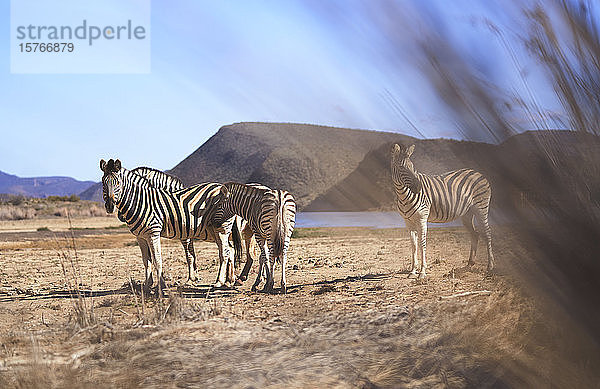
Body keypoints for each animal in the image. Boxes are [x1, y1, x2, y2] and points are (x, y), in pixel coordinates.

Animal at [99, 158, 241, 288]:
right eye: (103, 183)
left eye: (118, 183)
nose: (110, 207)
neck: (143, 201)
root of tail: (223, 187)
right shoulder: (140, 237)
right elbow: (146, 261)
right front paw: (147, 285)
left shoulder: (155, 234)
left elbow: (160, 259)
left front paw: (162, 285)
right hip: (216, 230)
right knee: (229, 250)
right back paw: (229, 280)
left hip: (222, 228)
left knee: (225, 252)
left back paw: (220, 281)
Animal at [392, 144, 494, 278]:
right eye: (401, 167)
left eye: (413, 168)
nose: (419, 187)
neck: (404, 195)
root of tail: (478, 173)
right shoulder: (408, 221)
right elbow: (413, 246)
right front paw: (413, 271)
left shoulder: (422, 219)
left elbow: (422, 244)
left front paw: (422, 272)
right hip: (467, 213)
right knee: (475, 234)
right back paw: (469, 264)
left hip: (481, 208)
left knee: (487, 233)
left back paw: (490, 266)